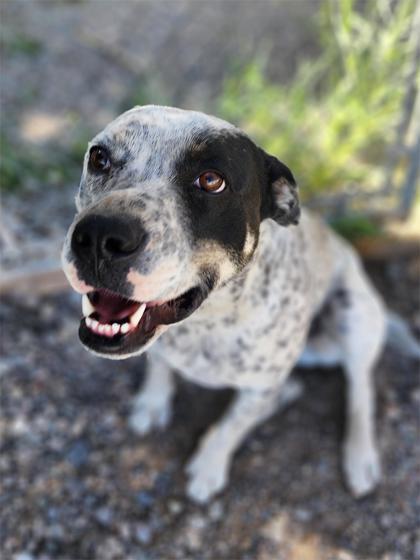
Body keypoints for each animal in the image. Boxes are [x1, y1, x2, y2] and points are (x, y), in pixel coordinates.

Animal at [60, 104, 418, 504]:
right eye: (99, 158)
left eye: (211, 180)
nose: (99, 236)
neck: (209, 320)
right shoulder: (165, 350)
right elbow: (160, 369)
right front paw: (153, 404)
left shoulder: (258, 388)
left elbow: (232, 426)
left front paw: (209, 465)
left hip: (354, 316)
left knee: (360, 389)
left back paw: (360, 457)